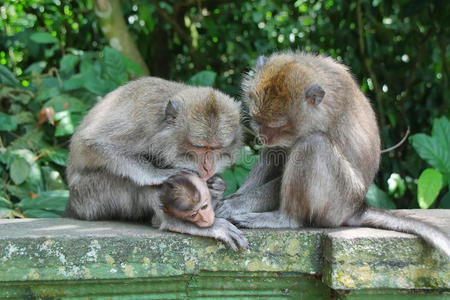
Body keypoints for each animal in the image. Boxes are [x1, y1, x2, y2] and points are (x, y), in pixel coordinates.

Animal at [66, 77, 248, 251]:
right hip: (89, 198)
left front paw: (217, 185)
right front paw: (158, 174)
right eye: (200, 147)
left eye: (217, 148)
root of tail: (73, 206)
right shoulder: (142, 122)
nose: (208, 167)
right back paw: (174, 222)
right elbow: (93, 142)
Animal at [215, 51, 450, 258]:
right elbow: (275, 153)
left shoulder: (318, 123)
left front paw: (236, 204)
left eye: (277, 126)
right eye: (257, 120)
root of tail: (358, 207)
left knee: (314, 145)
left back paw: (285, 218)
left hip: (339, 201)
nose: (262, 136)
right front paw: (230, 196)